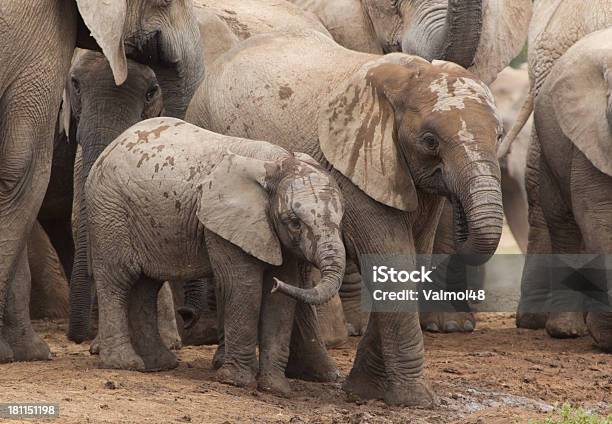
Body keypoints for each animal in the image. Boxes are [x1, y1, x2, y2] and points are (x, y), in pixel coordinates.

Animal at [85, 117, 346, 392]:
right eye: (294, 222)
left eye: (341, 220)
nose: (276, 284)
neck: (279, 164)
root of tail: (111, 146)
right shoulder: (226, 224)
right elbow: (243, 286)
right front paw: (235, 381)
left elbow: (282, 299)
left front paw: (276, 389)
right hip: (109, 211)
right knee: (118, 279)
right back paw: (125, 363)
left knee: (147, 285)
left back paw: (159, 364)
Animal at [189, 28, 504, 406]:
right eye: (430, 141)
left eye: (500, 135)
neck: (408, 77)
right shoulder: (355, 168)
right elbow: (393, 259)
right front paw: (416, 401)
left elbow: (413, 257)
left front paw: (363, 391)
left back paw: (318, 374)